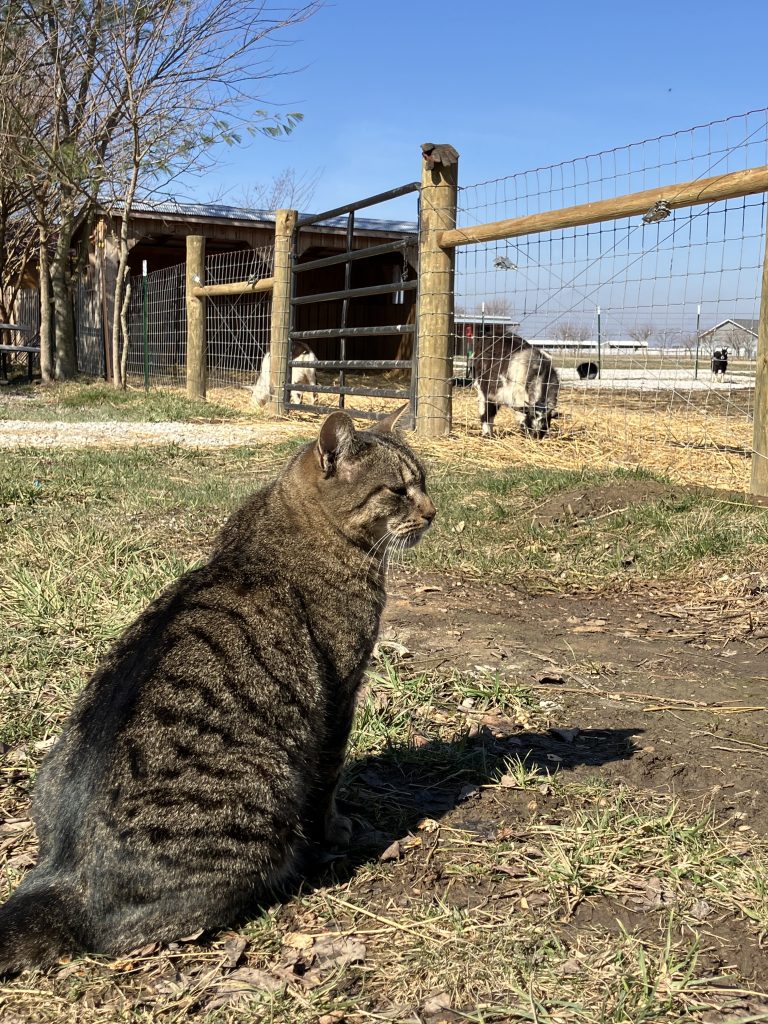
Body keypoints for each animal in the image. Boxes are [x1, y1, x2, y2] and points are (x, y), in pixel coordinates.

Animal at [0, 405, 434, 966]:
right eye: (399, 490)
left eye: (424, 483)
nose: (433, 512)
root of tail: (63, 875)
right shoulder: (341, 690)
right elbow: (328, 780)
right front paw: (336, 829)